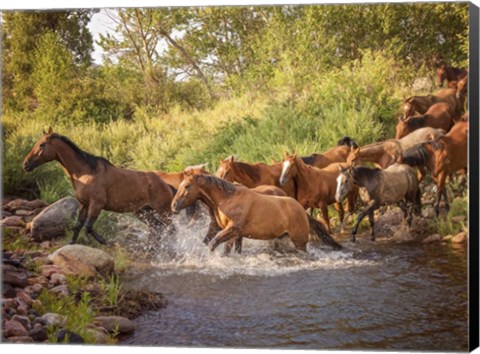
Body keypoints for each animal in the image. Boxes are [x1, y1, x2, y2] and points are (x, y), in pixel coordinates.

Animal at [23, 129, 174, 245]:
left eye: (42, 145)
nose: (25, 164)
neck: (85, 173)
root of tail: (166, 185)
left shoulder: (97, 204)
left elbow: (88, 227)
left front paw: (106, 242)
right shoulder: (84, 204)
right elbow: (78, 226)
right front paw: (71, 243)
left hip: (163, 212)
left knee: (170, 230)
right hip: (144, 212)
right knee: (157, 228)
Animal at [171, 174, 344, 252]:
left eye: (187, 186)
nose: (173, 206)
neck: (227, 199)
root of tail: (301, 209)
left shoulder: (232, 230)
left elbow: (215, 244)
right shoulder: (235, 233)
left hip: (300, 242)